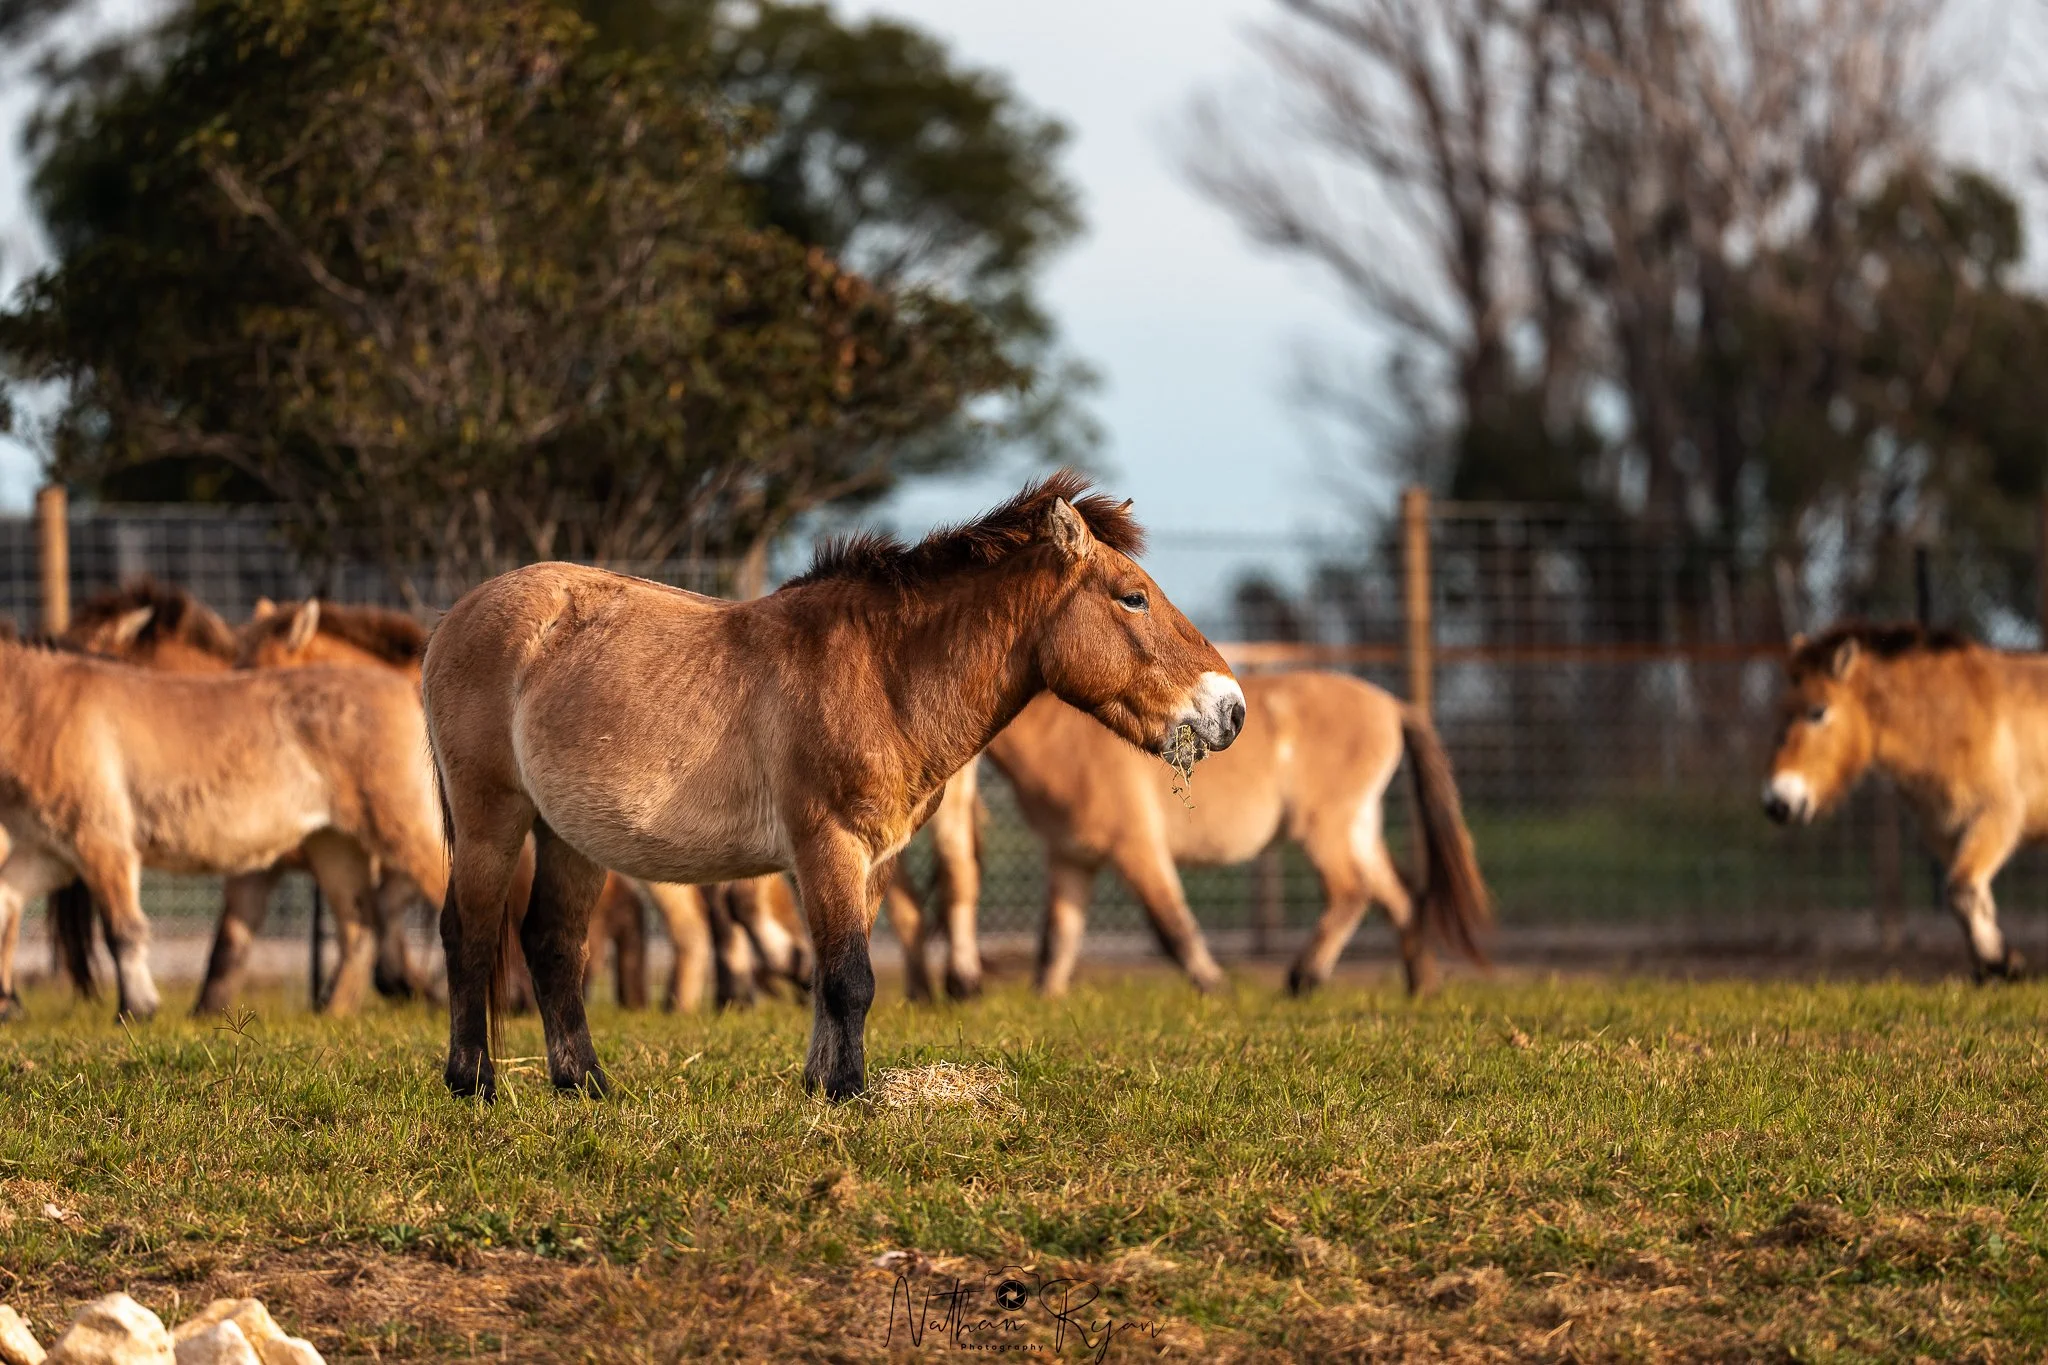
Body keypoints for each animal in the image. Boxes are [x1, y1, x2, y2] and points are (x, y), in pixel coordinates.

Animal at [0, 635, 448, 1019]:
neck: (35, 705)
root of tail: (410, 689)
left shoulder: (100, 842)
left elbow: (122, 930)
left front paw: (137, 1008)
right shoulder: (47, 853)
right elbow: (6, 910)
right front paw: (8, 1007)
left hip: (405, 829)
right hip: (335, 845)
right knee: (359, 929)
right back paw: (331, 1014)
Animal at [422, 471, 1244, 1101]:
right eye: (1133, 596)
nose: (1229, 708)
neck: (884, 674)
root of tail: (454, 618)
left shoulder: (871, 859)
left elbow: (833, 976)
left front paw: (820, 1085)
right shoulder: (828, 846)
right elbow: (850, 977)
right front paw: (848, 1093)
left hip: (569, 837)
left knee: (553, 944)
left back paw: (586, 1084)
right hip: (492, 818)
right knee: (469, 933)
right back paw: (475, 1083)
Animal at [910, 671, 1491, 997]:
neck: (1067, 740)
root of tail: (1393, 706)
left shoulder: (1136, 850)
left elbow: (1172, 926)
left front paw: (1213, 984)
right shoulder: (1072, 859)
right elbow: (1058, 937)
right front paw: (1044, 998)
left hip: (1328, 830)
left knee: (1353, 893)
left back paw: (1303, 978)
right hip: (1358, 828)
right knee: (1399, 898)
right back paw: (1420, 986)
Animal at [1764, 623, 2042, 980]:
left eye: (1818, 711)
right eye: (1780, 711)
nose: (1777, 802)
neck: (1950, 718)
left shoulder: (1998, 815)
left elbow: (1962, 890)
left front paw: (2000, 962)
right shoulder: (1943, 832)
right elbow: (1972, 897)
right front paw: (1995, 962)